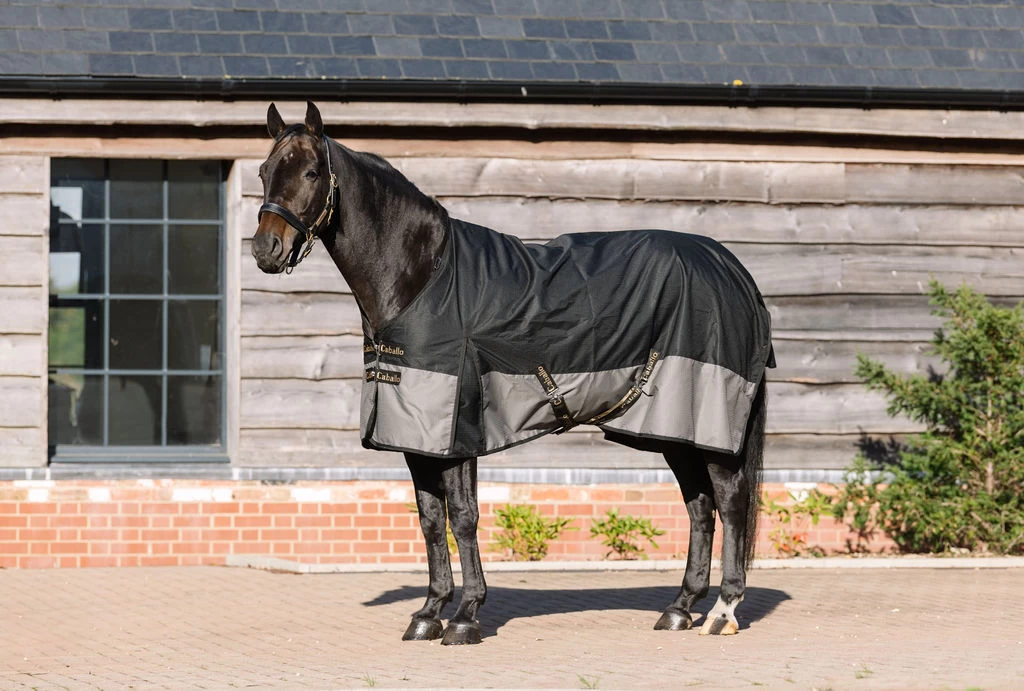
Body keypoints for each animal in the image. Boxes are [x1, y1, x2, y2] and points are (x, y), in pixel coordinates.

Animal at [251, 102, 774, 646]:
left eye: (311, 173)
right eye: (264, 171)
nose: (266, 249)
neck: (421, 278)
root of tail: (733, 270)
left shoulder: (456, 430)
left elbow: (463, 517)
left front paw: (465, 616)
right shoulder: (416, 433)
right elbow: (430, 519)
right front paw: (428, 612)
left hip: (709, 424)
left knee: (730, 501)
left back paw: (723, 611)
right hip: (673, 428)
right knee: (699, 506)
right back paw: (680, 607)